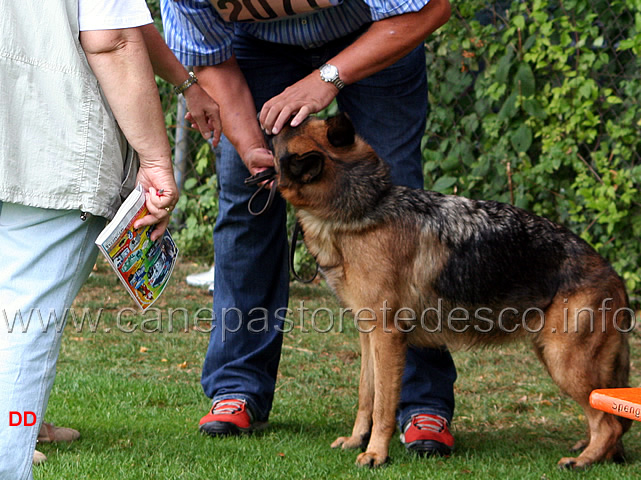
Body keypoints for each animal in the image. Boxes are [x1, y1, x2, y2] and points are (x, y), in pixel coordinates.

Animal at [268, 113, 632, 468]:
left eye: (289, 127)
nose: (267, 120)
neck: (363, 208)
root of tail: (614, 275)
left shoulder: (387, 337)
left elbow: (383, 406)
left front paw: (375, 454)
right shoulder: (367, 335)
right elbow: (365, 396)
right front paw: (358, 440)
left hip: (565, 363)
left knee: (610, 424)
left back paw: (583, 461)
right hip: (557, 357)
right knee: (611, 419)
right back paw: (597, 453)